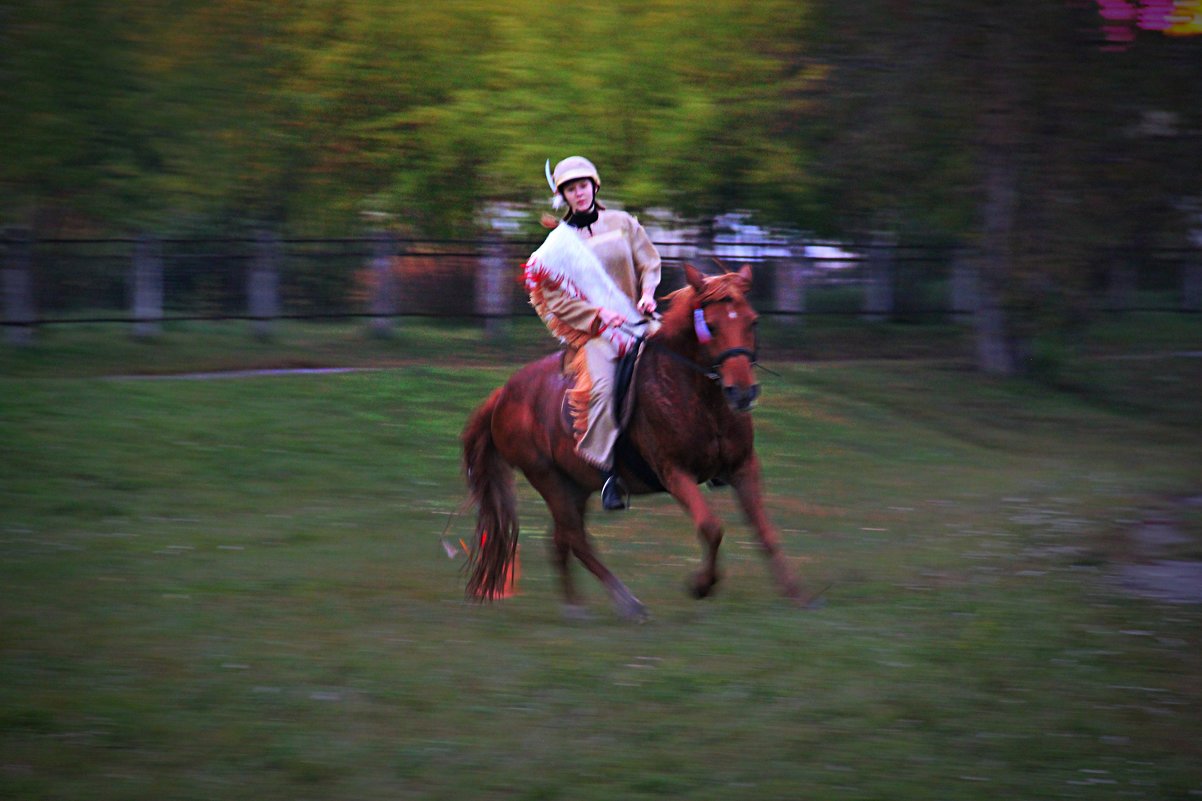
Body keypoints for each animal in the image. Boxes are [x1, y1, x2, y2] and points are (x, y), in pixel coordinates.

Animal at [459, 262, 817, 615]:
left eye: (752, 321)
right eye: (712, 326)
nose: (742, 393)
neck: (695, 394)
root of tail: (504, 394)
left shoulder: (743, 466)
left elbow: (765, 531)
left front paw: (798, 594)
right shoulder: (675, 473)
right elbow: (711, 527)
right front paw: (701, 585)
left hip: (575, 484)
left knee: (562, 539)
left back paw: (577, 606)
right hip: (547, 477)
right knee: (574, 537)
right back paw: (626, 602)